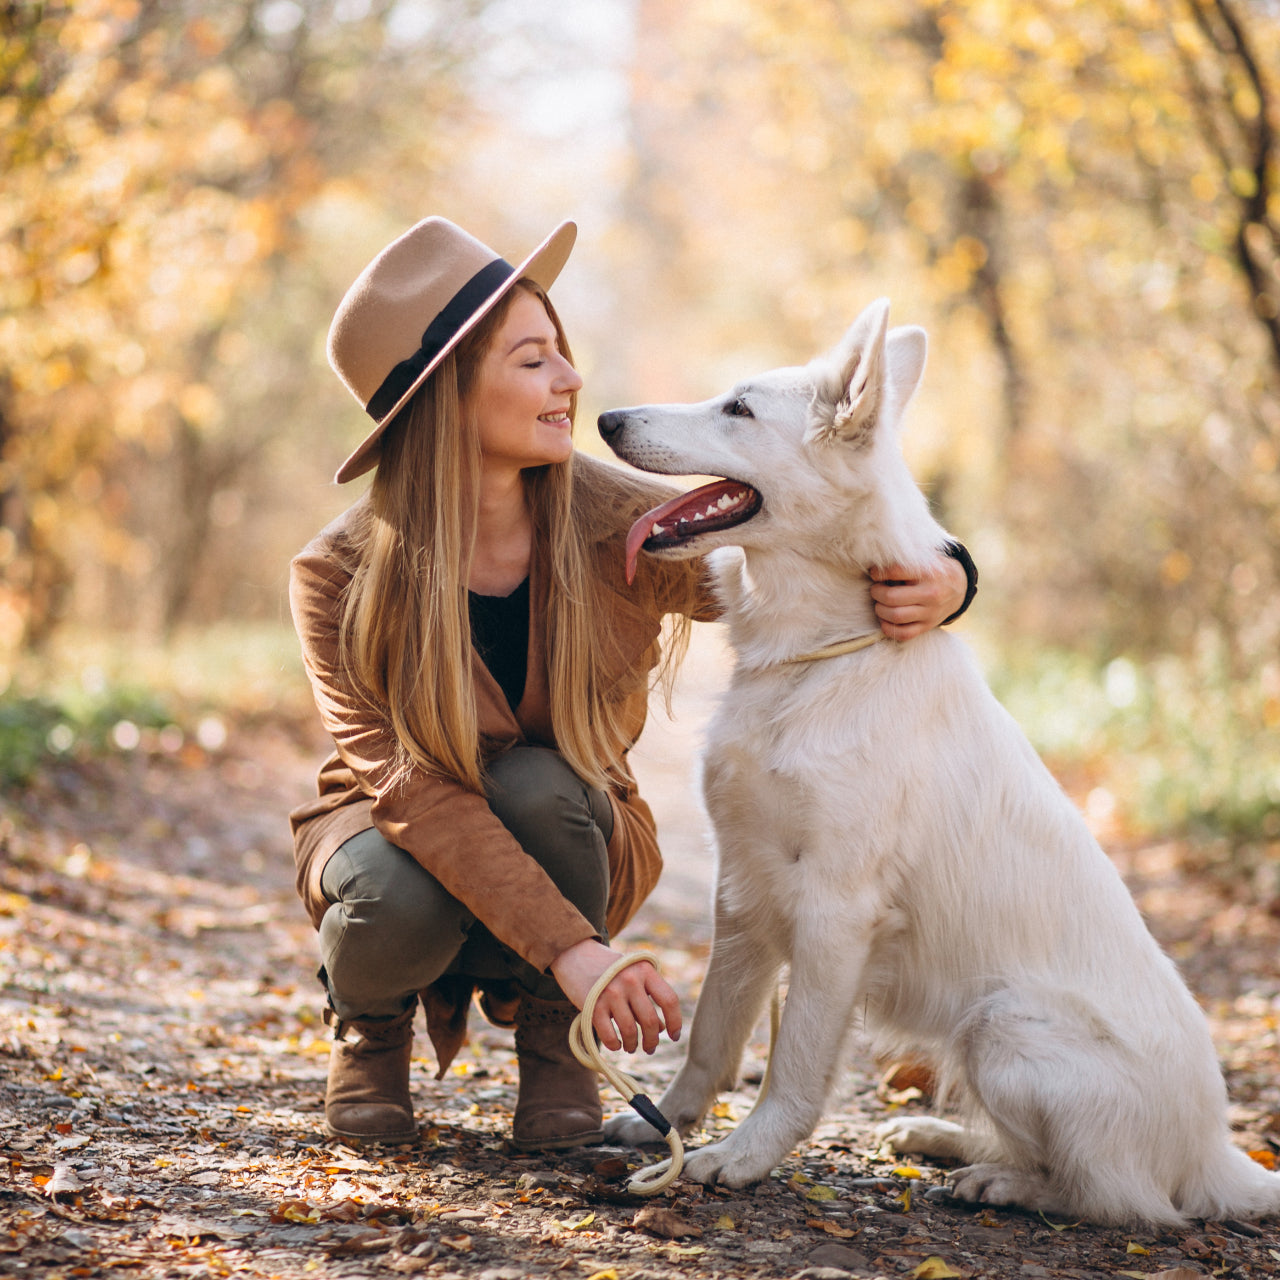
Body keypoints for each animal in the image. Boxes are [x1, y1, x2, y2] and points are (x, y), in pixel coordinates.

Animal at [596, 299, 1280, 1228]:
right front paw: (662, 1124)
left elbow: (792, 1068)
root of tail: (1218, 1152)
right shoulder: (742, 891)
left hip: (1004, 1025)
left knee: (1117, 1198)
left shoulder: (835, 911)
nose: (604, 419)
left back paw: (1000, 1181)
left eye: (739, 409)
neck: (822, 657)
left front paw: (740, 1158)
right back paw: (943, 1138)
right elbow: (710, 1037)